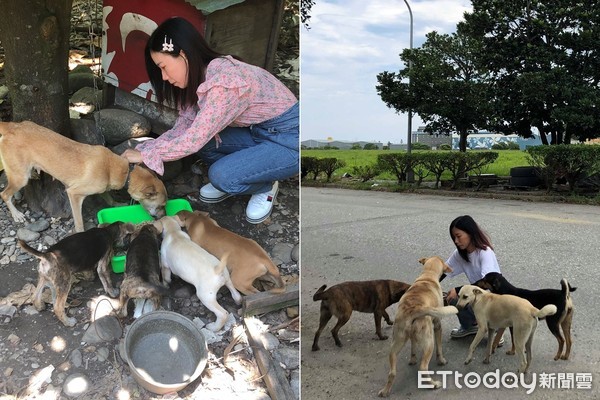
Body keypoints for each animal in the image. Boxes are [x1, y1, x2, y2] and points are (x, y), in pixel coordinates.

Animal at [0, 120, 168, 231]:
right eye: (162, 205)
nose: (164, 216)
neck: (121, 170)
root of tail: (12, 126)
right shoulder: (74, 194)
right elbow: (79, 222)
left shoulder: (102, 187)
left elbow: (107, 196)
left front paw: (116, 203)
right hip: (20, 178)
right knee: (4, 194)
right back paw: (16, 215)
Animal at [380, 256, 460, 396]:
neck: (428, 276)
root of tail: (413, 310)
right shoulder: (437, 325)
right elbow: (440, 349)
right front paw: (441, 360)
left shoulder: (411, 336)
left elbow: (413, 346)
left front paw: (412, 359)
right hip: (429, 342)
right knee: (423, 368)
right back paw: (434, 384)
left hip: (396, 343)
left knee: (392, 372)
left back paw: (385, 391)